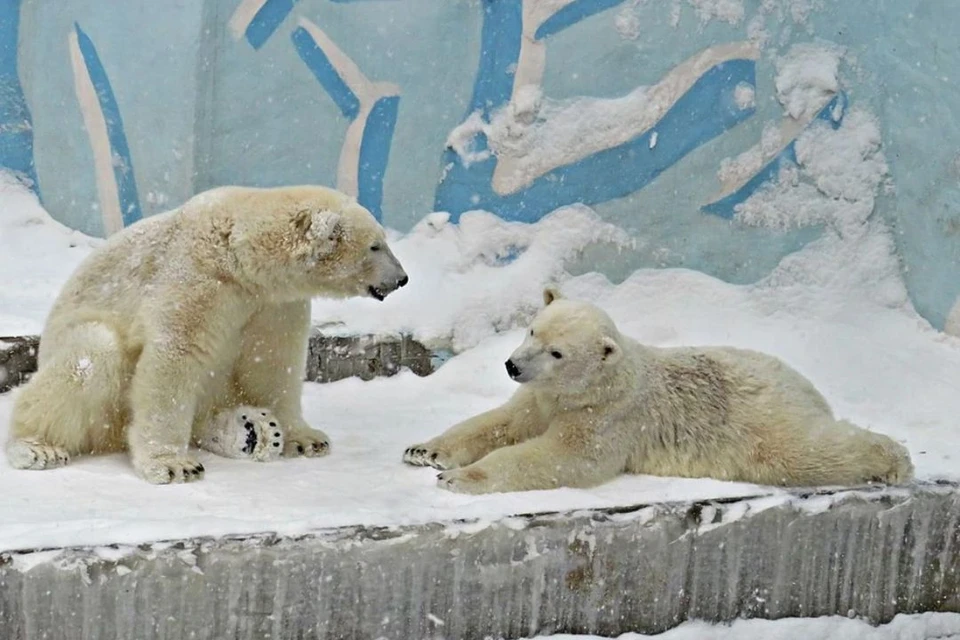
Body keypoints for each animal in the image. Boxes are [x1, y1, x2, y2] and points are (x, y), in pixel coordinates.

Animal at [5, 182, 406, 482]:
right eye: (375, 245)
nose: (402, 278)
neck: (239, 255)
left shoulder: (273, 303)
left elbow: (274, 363)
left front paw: (306, 438)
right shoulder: (197, 279)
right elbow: (175, 357)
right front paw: (172, 464)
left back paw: (253, 430)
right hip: (85, 365)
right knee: (90, 355)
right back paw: (36, 447)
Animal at [404, 288, 916, 496]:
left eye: (558, 352)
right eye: (533, 329)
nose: (512, 365)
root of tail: (804, 384)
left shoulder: (607, 417)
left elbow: (561, 458)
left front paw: (458, 479)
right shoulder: (540, 397)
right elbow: (502, 422)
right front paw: (424, 451)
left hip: (758, 419)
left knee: (803, 450)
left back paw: (895, 459)